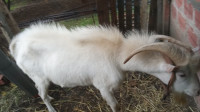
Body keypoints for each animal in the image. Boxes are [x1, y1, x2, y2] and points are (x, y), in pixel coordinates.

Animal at [9, 23, 200, 112]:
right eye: (181, 74)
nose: (197, 91)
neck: (117, 54)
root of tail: (18, 43)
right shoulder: (103, 87)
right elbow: (114, 105)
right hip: (38, 77)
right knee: (41, 94)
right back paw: (51, 108)